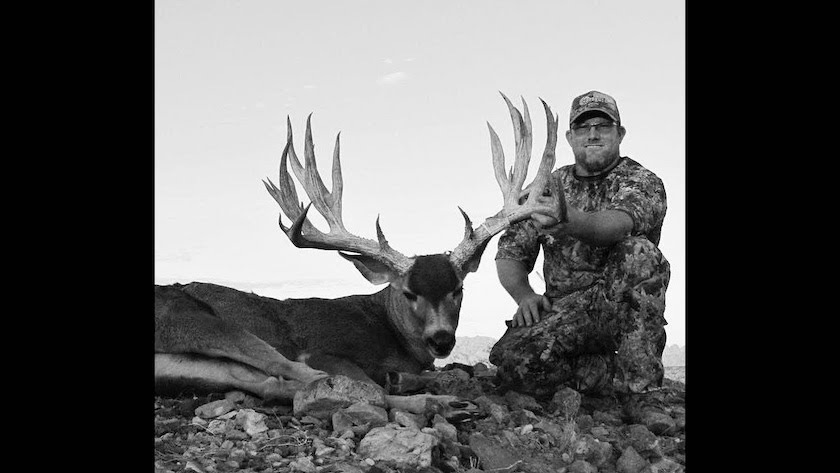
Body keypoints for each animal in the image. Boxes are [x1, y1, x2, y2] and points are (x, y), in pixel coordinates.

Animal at [155, 93, 561, 416]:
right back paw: (439, 400)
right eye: (409, 293)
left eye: (458, 289)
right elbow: (352, 377)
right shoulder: (327, 348)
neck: (391, 334)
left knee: (273, 383)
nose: (442, 340)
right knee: (306, 375)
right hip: (203, 322)